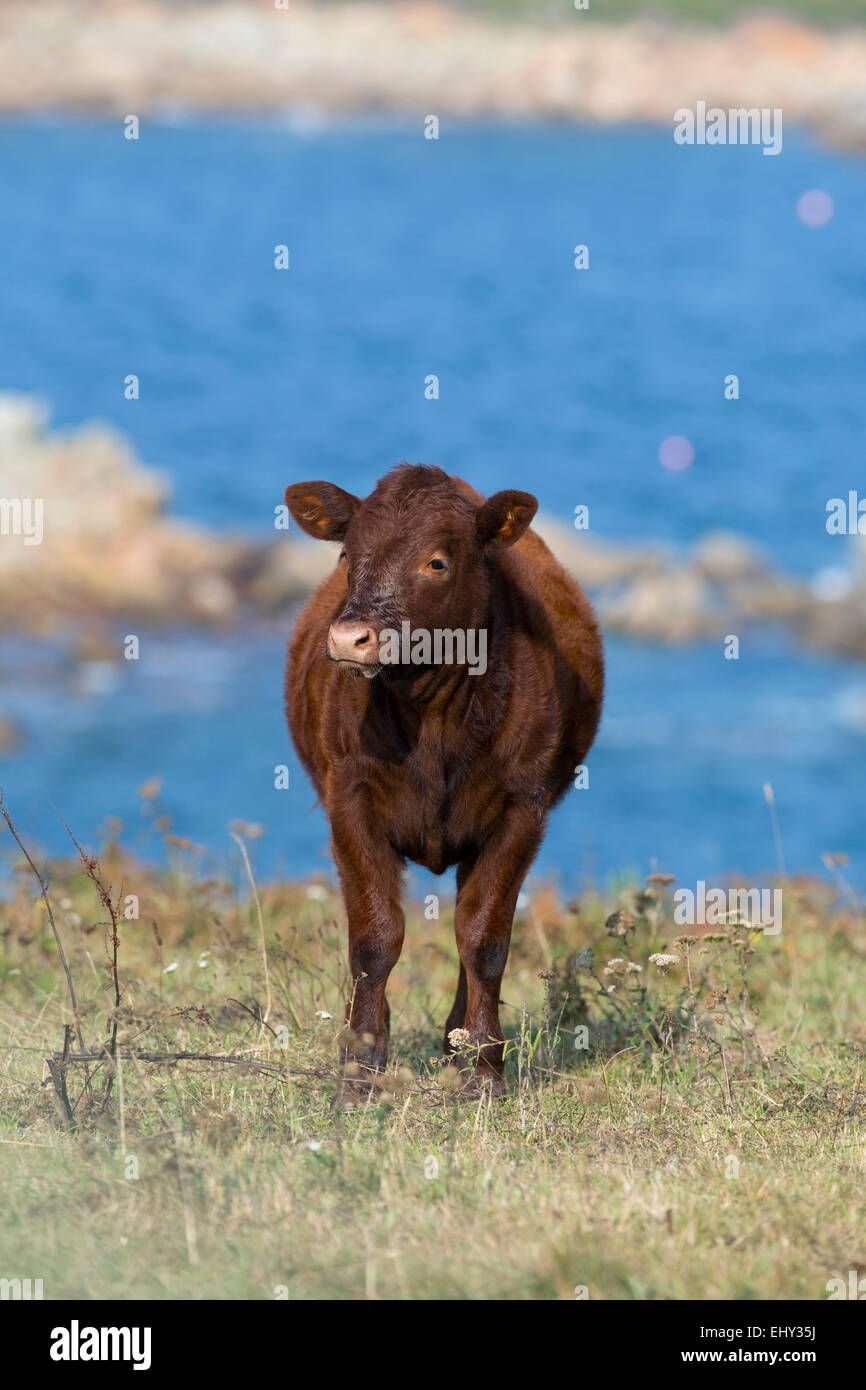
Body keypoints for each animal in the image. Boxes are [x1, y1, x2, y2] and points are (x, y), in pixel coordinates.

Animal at [284, 467, 603, 1095]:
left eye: (436, 562)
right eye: (346, 554)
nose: (349, 638)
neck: (431, 721)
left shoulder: (521, 811)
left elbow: (483, 939)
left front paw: (484, 1068)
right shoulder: (348, 801)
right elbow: (375, 937)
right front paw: (360, 1065)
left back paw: (459, 1042)